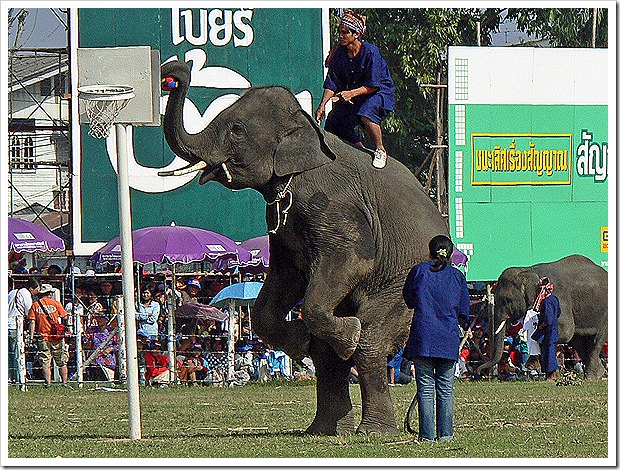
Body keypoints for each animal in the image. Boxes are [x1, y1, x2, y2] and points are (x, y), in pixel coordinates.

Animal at [159, 60, 450, 436]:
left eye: (236, 130)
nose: (172, 70)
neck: (306, 128)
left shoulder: (335, 204)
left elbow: (350, 262)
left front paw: (347, 334)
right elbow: (286, 278)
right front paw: (301, 342)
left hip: (403, 287)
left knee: (371, 343)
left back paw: (373, 428)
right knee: (328, 357)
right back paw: (326, 429)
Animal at [478, 255, 608, 380]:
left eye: (507, 300)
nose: (479, 372)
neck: (527, 270)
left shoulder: (559, 300)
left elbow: (565, 331)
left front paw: (534, 365)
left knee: (595, 341)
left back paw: (590, 377)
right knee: (578, 341)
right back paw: (599, 373)